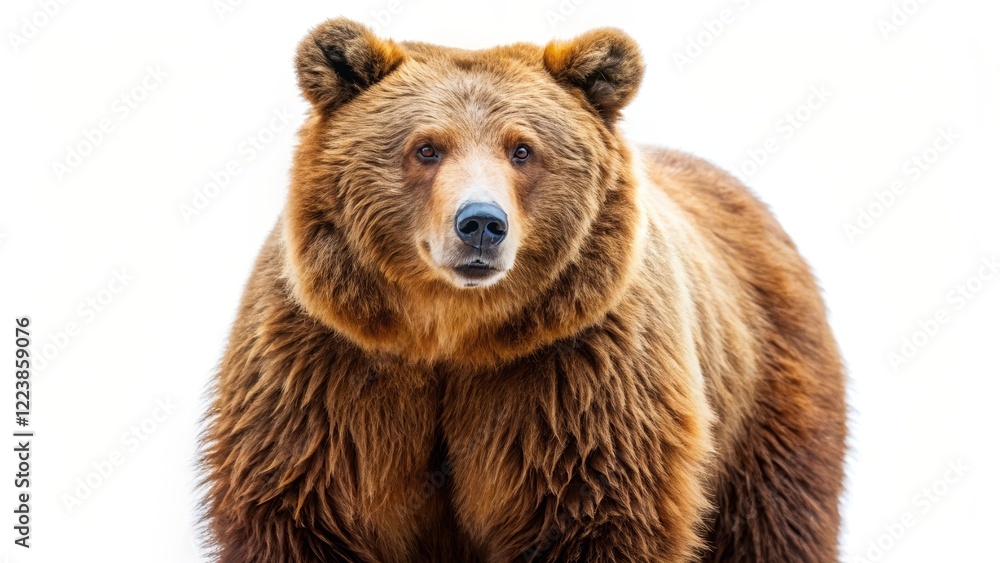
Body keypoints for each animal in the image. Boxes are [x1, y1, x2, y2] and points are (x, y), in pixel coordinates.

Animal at [200, 17, 847, 563]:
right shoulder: (328, 371)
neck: (449, 334)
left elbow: (596, 511)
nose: (481, 223)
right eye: (426, 147)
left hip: (765, 399)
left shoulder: (576, 377)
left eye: (522, 148)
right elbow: (302, 505)